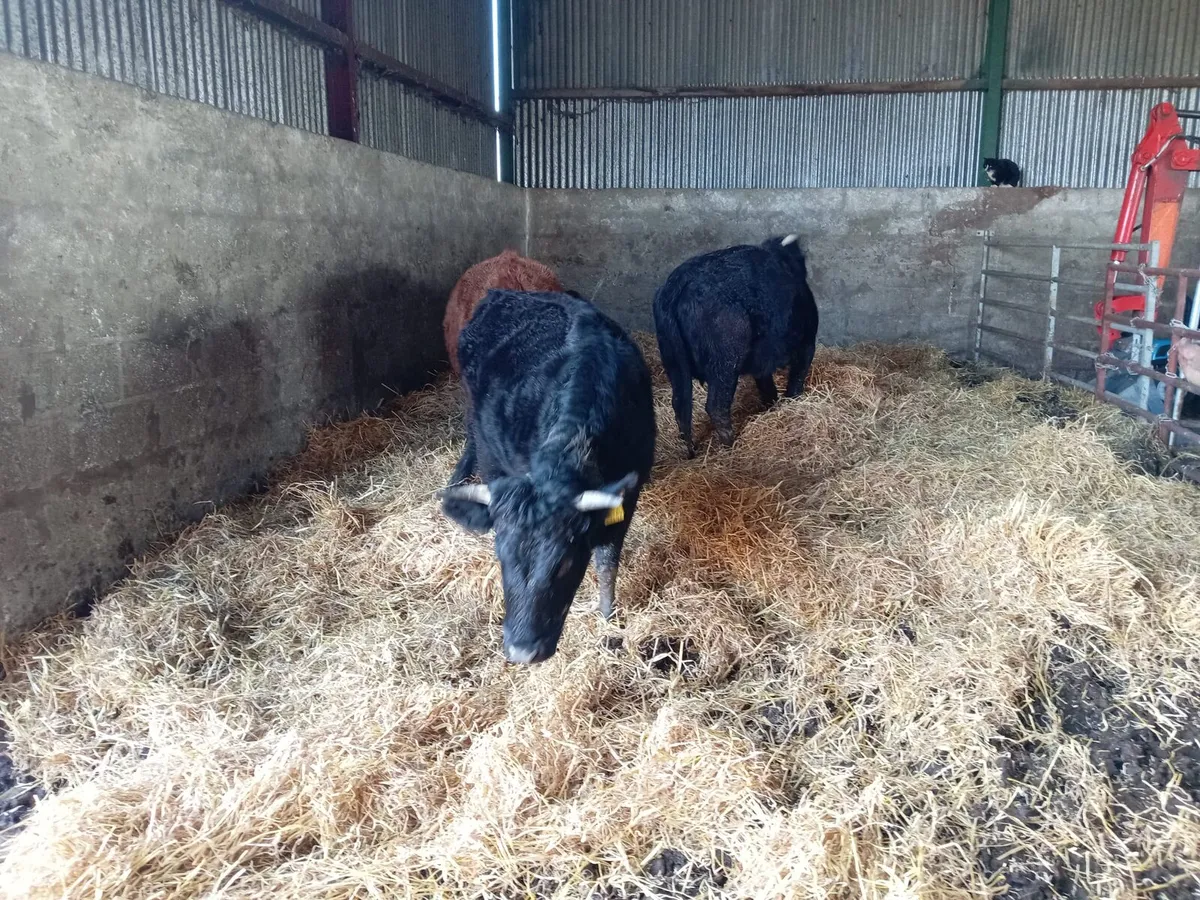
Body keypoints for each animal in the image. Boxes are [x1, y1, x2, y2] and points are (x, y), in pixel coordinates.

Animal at [437, 290, 656, 664]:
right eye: (501, 556)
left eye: (565, 561)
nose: (522, 651)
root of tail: (504, 293)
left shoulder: (628, 494)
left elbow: (607, 562)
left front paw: (607, 615)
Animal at [653, 234, 819, 457]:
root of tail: (677, 285)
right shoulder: (807, 342)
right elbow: (796, 378)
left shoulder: (763, 361)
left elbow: (767, 386)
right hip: (725, 358)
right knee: (716, 405)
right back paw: (730, 444)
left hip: (672, 358)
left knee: (680, 405)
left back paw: (691, 453)